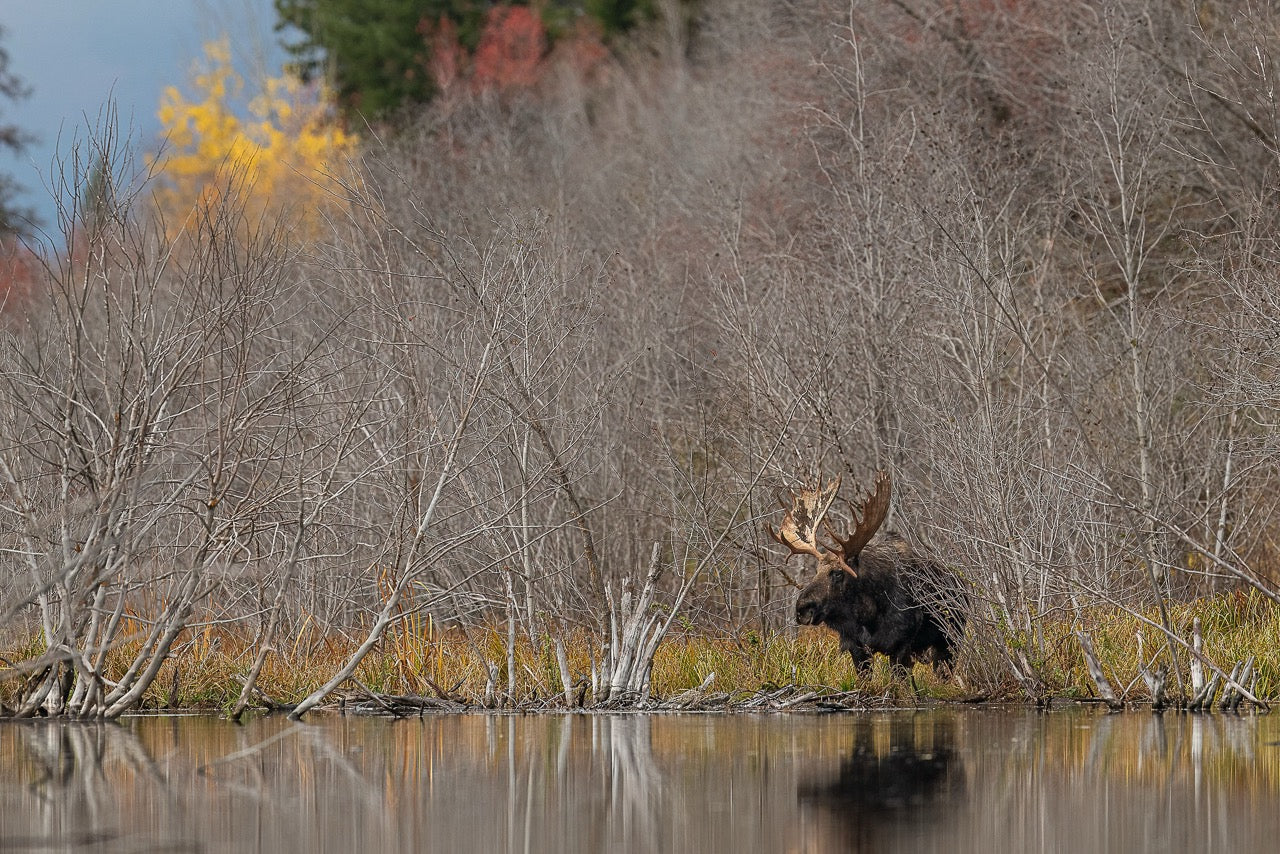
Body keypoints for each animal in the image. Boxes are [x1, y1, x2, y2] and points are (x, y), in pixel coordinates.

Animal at [768, 472, 959, 672]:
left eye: (838, 572)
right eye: (817, 570)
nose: (802, 609)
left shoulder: (901, 646)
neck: (868, 614)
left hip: (950, 644)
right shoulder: (856, 647)